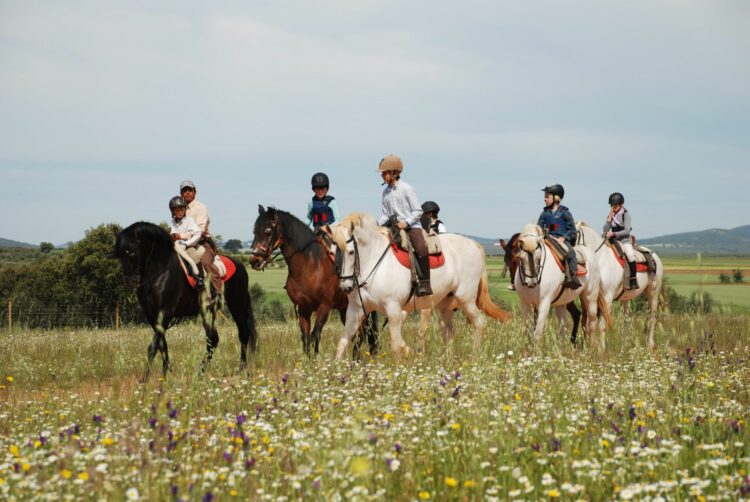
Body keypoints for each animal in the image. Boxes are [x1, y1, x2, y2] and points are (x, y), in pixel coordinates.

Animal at [116, 222, 258, 378]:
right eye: (119, 255)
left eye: (132, 252)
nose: (130, 281)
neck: (160, 271)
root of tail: (239, 264)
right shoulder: (151, 315)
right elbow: (162, 345)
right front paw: (166, 374)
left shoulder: (165, 313)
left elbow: (153, 346)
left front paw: (145, 379)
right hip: (209, 311)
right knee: (213, 339)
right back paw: (201, 372)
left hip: (236, 305)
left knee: (242, 334)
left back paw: (241, 369)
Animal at [248, 205, 378, 356]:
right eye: (254, 231)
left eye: (268, 232)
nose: (254, 260)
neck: (308, 267)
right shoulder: (303, 309)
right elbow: (306, 340)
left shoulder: (324, 307)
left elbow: (315, 335)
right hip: (345, 309)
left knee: (360, 336)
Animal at [334, 214, 516, 358]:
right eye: (335, 252)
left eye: (351, 252)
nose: (345, 287)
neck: (375, 261)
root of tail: (474, 244)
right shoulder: (356, 310)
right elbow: (343, 342)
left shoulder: (394, 309)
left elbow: (396, 344)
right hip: (444, 304)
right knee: (450, 329)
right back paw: (445, 359)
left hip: (465, 298)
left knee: (479, 322)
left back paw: (474, 355)